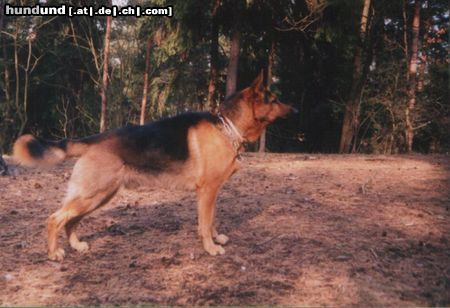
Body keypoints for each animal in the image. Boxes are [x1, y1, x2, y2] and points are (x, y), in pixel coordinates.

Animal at [12, 71, 296, 260]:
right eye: (273, 100)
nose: (295, 111)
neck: (227, 127)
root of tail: (92, 140)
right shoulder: (207, 192)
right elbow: (205, 224)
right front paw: (210, 247)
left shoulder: (212, 193)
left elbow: (212, 220)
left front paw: (216, 238)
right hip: (92, 195)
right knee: (55, 219)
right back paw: (54, 253)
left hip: (99, 197)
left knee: (70, 222)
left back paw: (77, 246)